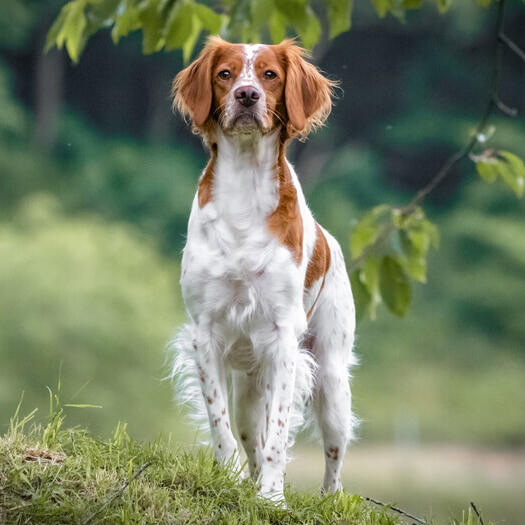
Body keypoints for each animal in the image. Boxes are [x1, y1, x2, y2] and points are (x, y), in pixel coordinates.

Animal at [170, 37, 358, 504]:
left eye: (270, 74)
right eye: (225, 74)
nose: (247, 95)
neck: (245, 187)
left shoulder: (283, 337)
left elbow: (278, 433)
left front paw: (272, 497)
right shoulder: (205, 333)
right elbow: (220, 425)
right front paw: (231, 479)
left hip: (331, 380)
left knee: (334, 453)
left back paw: (327, 497)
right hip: (250, 389)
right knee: (247, 432)